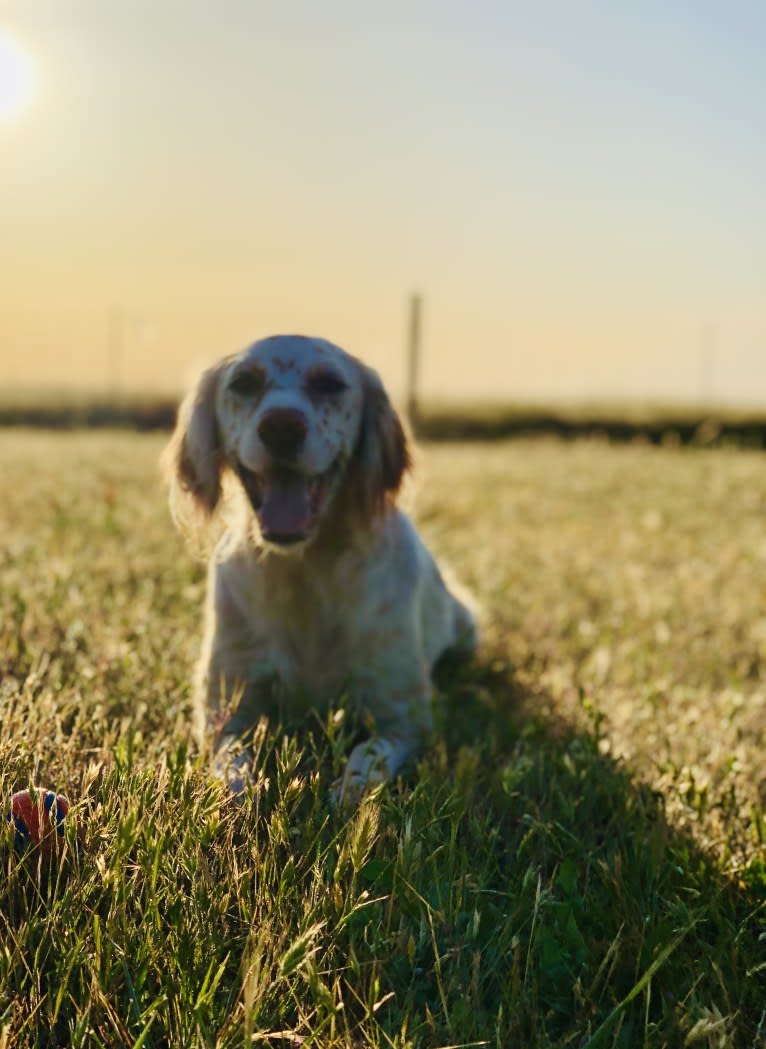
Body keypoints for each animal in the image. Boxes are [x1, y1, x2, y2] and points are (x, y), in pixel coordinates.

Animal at [163, 335, 474, 801]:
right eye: (244, 382)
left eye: (329, 383)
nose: (281, 426)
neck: (304, 570)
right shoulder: (224, 703)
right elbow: (231, 761)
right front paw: (242, 791)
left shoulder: (403, 715)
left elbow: (368, 756)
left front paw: (347, 792)